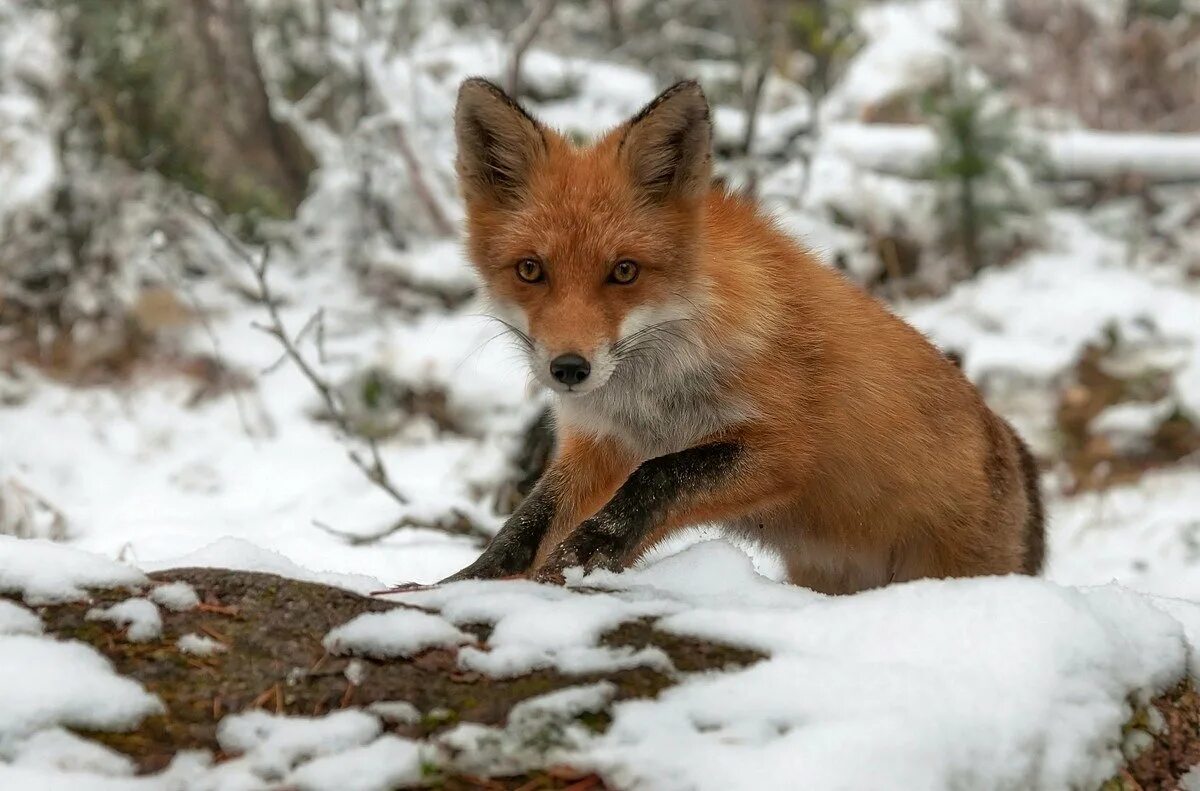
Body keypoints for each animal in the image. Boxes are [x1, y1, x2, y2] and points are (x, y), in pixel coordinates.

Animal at [441, 77, 1041, 595]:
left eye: (624, 272)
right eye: (530, 270)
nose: (569, 369)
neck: (654, 396)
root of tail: (1016, 449)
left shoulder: (783, 451)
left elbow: (659, 476)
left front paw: (588, 555)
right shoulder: (603, 444)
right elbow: (528, 522)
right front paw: (467, 580)